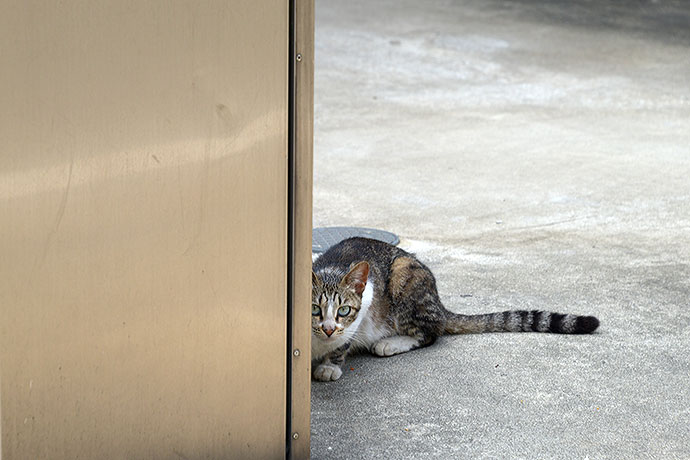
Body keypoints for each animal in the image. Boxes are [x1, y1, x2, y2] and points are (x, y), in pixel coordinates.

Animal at [310, 237, 596, 380]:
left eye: (344, 311)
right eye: (314, 309)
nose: (328, 329)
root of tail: (439, 302)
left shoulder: (368, 294)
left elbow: (345, 339)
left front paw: (330, 365)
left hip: (404, 276)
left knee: (430, 331)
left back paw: (390, 343)